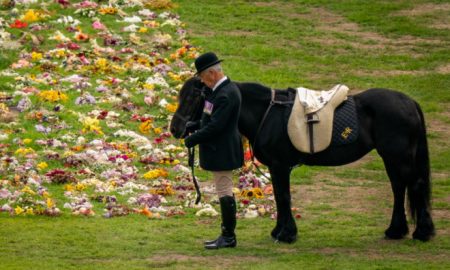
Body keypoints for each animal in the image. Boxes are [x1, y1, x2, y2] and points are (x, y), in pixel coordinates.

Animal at [171, 77, 434, 243]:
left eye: (193, 97)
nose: (175, 128)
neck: (268, 113)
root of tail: (409, 102)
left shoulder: (279, 166)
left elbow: (283, 197)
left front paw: (286, 234)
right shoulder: (276, 167)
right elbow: (280, 197)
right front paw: (279, 231)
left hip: (398, 157)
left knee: (415, 186)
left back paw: (422, 232)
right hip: (392, 158)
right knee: (399, 188)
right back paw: (396, 230)